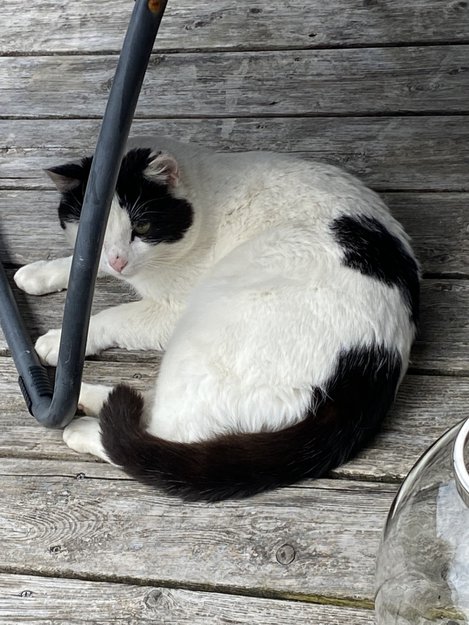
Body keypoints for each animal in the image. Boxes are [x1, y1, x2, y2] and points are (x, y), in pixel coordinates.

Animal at [14, 136, 420, 501]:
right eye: (96, 233)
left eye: (142, 228)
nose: (118, 260)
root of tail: (370, 369)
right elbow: (82, 263)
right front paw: (39, 273)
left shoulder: (170, 308)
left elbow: (113, 316)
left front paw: (59, 340)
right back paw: (85, 397)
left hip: (202, 322)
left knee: (164, 432)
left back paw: (84, 428)